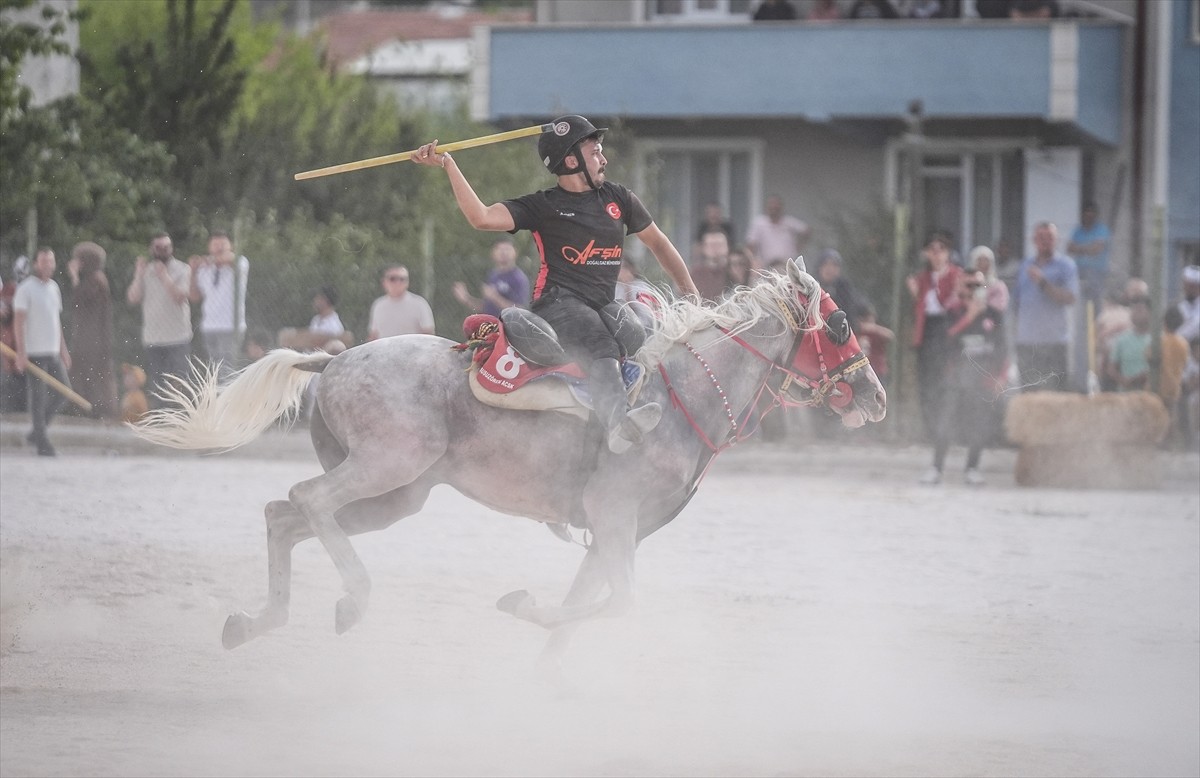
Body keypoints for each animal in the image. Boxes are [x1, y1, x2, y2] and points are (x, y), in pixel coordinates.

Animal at [133, 261, 883, 662]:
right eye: (841, 324)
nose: (875, 395)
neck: (676, 397)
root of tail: (336, 358)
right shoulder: (614, 520)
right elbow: (618, 603)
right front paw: (523, 606)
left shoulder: (613, 535)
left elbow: (587, 604)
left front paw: (547, 674)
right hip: (386, 465)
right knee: (307, 502)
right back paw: (352, 600)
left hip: (396, 495)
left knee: (284, 514)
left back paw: (255, 621)